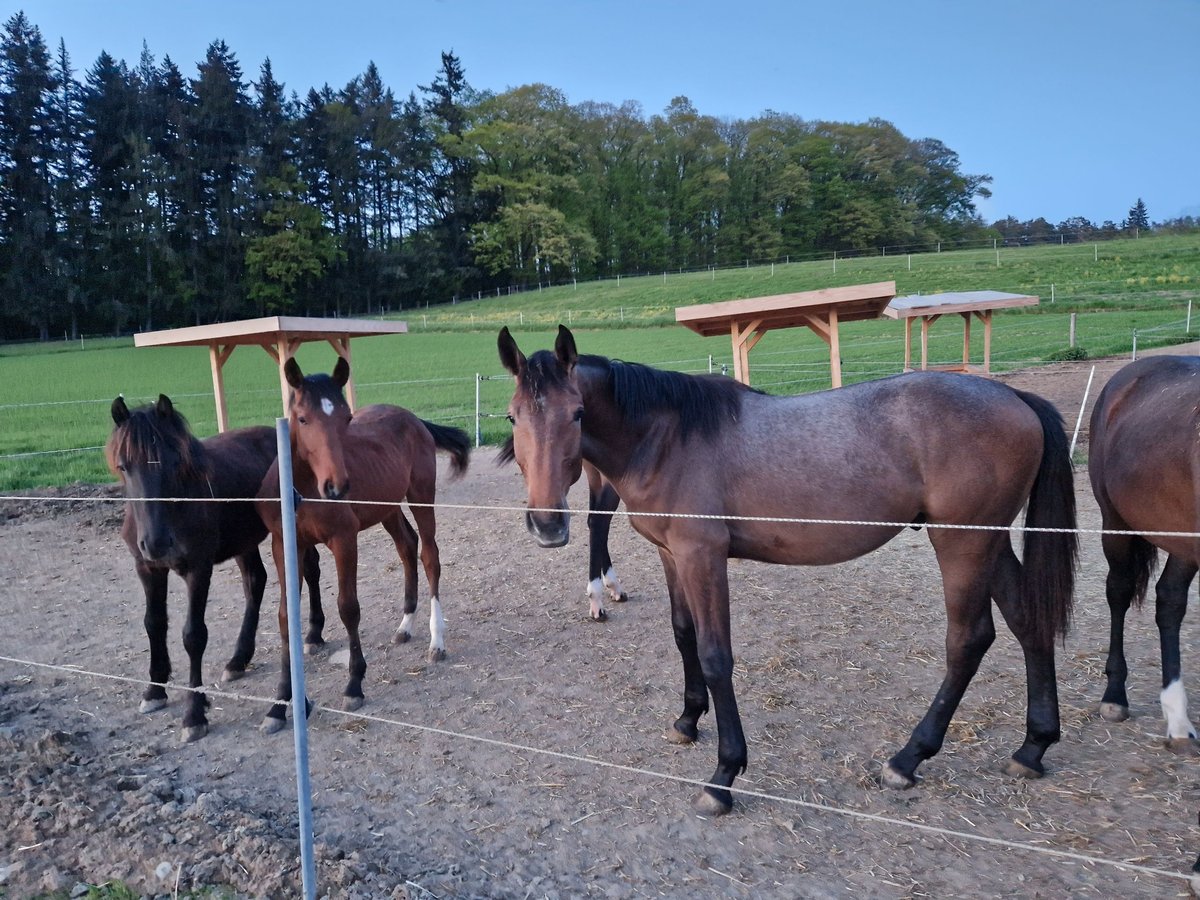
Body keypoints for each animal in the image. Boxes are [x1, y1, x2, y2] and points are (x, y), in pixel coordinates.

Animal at [107, 398, 321, 744]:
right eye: (124, 466)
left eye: (174, 462)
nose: (156, 542)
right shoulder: (148, 568)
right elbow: (154, 624)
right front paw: (155, 690)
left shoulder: (198, 569)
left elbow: (193, 636)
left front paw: (194, 714)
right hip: (246, 540)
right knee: (255, 581)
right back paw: (238, 659)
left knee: (310, 571)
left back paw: (314, 634)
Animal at [255, 355, 470, 734]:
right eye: (302, 418)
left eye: (346, 418)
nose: (337, 486)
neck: (303, 490)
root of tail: (413, 418)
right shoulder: (284, 544)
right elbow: (284, 616)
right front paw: (279, 705)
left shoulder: (344, 540)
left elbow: (348, 607)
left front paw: (354, 685)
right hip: (387, 508)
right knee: (407, 546)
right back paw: (404, 626)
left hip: (420, 496)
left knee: (429, 555)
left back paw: (436, 641)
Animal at [496, 326, 1080, 816]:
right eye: (512, 416)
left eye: (576, 413)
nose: (547, 524)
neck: (668, 436)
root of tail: (1015, 398)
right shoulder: (671, 555)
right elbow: (684, 636)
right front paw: (687, 721)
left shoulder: (702, 557)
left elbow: (715, 656)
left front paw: (724, 775)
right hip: (989, 545)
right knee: (1028, 622)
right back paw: (1032, 747)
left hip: (962, 543)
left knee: (968, 640)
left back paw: (908, 758)